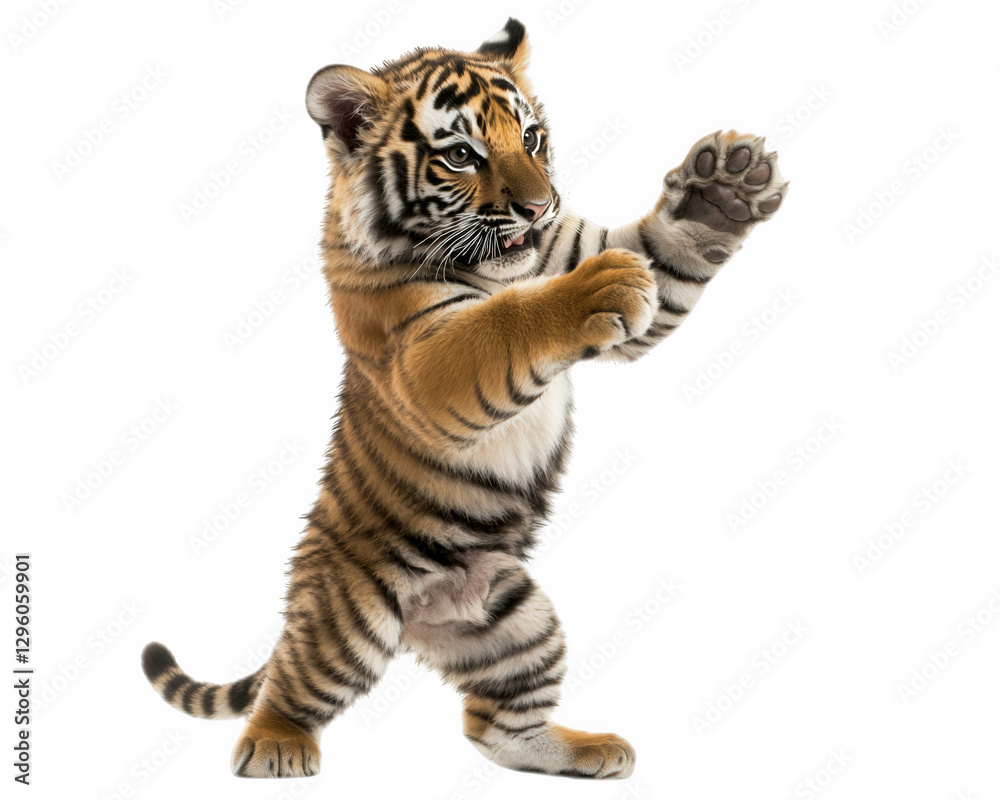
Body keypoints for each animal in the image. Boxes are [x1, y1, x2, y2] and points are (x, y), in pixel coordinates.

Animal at [141, 18, 786, 781]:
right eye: (460, 155)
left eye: (532, 138)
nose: (539, 206)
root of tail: (420, 620)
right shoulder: (423, 361)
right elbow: (505, 323)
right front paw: (600, 286)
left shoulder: (575, 248)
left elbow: (661, 255)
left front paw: (725, 188)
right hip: (347, 618)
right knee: (295, 681)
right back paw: (276, 745)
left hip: (515, 619)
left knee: (494, 728)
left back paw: (586, 750)